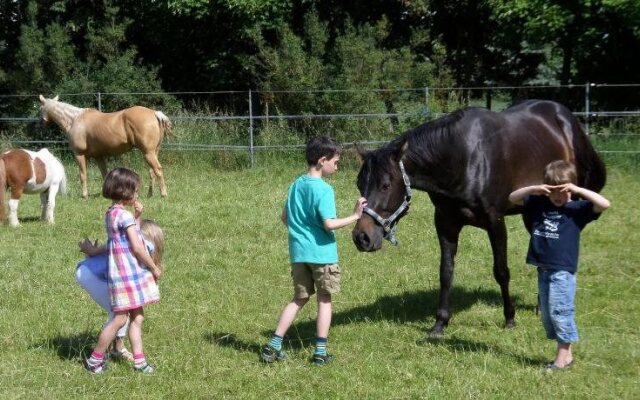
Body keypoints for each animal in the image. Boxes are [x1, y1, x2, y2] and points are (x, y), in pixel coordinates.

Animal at [38, 94, 174, 200]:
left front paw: (84, 196)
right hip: (154, 152)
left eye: (40, 108)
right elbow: (105, 174)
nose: (41, 123)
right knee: (152, 172)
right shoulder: (99, 156)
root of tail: (155, 113)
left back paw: (164, 194)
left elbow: (83, 175)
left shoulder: (79, 154)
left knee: (158, 170)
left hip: (148, 153)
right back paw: (150, 195)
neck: (74, 120)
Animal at [352, 99, 608, 338]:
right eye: (359, 183)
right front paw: (440, 323)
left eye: (385, 185)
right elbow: (446, 272)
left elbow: (501, 271)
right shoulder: (445, 223)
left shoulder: (495, 222)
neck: (463, 159)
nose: (361, 238)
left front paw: (510, 318)